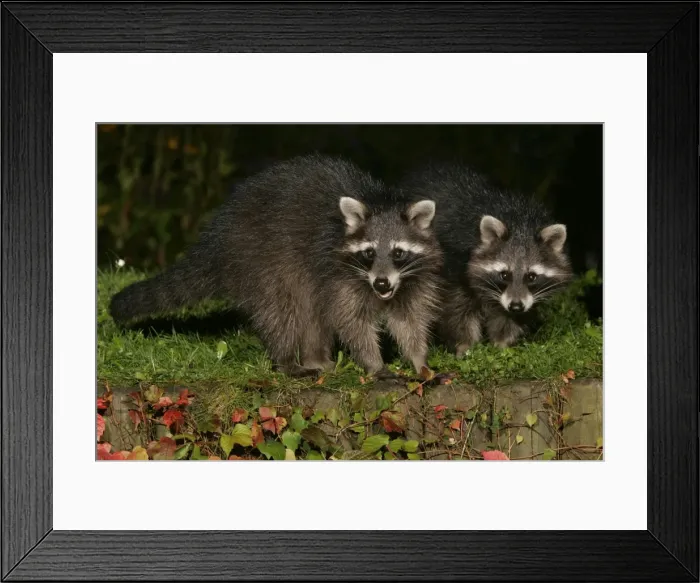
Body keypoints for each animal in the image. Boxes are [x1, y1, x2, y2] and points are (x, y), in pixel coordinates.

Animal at [109, 155, 443, 376]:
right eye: (369, 253)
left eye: (398, 253)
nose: (381, 283)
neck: (377, 200)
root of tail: (216, 237)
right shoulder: (338, 274)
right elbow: (352, 321)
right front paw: (375, 364)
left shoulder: (411, 280)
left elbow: (410, 319)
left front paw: (419, 360)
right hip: (262, 261)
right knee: (282, 311)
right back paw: (287, 362)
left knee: (310, 315)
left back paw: (314, 357)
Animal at [400, 164, 573, 353]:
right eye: (504, 275)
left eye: (532, 276)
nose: (516, 306)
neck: (519, 222)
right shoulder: (452, 262)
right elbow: (455, 308)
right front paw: (465, 345)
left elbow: (508, 317)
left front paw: (502, 343)